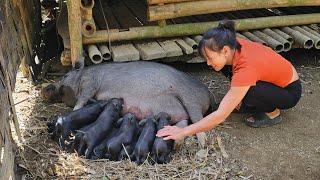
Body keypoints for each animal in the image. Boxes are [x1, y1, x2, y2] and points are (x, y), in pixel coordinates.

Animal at [41, 61, 214, 148]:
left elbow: (82, 99)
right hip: (179, 112)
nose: (46, 88)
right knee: (183, 122)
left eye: (65, 76)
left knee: (198, 122)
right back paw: (178, 142)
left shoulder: (90, 83)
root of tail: (207, 92)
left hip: (191, 99)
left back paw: (202, 145)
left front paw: (74, 109)